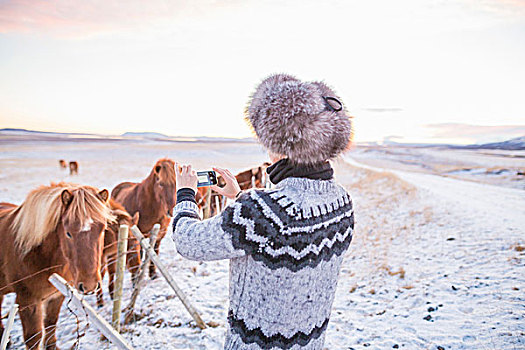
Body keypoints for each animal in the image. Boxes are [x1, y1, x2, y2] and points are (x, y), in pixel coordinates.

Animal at [0, 182, 112, 348]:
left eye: (103, 229)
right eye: (68, 233)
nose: (89, 285)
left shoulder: (56, 296)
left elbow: (51, 325)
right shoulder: (27, 301)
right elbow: (33, 337)